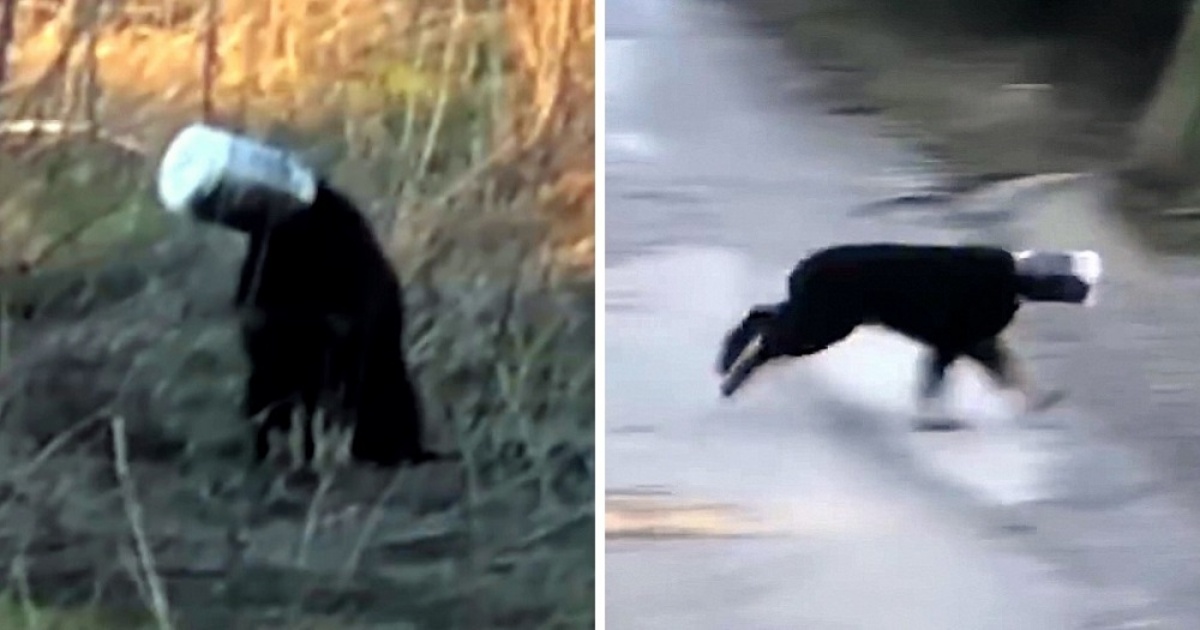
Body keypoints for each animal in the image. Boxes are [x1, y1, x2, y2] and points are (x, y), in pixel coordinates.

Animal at [715, 243, 1099, 424]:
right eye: (1077, 279)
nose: (1093, 291)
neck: (1018, 279)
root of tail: (800, 272)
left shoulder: (971, 343)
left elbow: (1007, 371)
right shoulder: (958, 342)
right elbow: (938, 382)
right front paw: (935, 418)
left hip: (811, 316)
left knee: (761, 314)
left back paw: (727, 362)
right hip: (820, 326)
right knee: (768, 336)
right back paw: (730, 376)